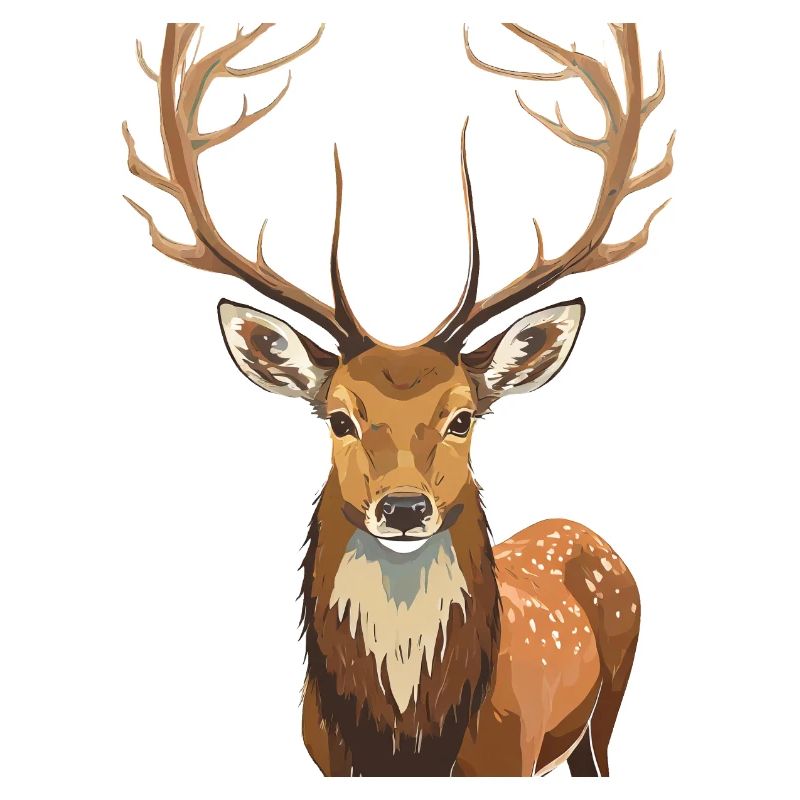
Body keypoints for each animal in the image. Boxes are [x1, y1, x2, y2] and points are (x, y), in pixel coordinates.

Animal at [123, 22, 672, 777]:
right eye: (339, 418)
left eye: (463, 417)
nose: (405, 508)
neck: (406, 745)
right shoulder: (323, 761)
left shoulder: (513, 755)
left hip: (604, 714)